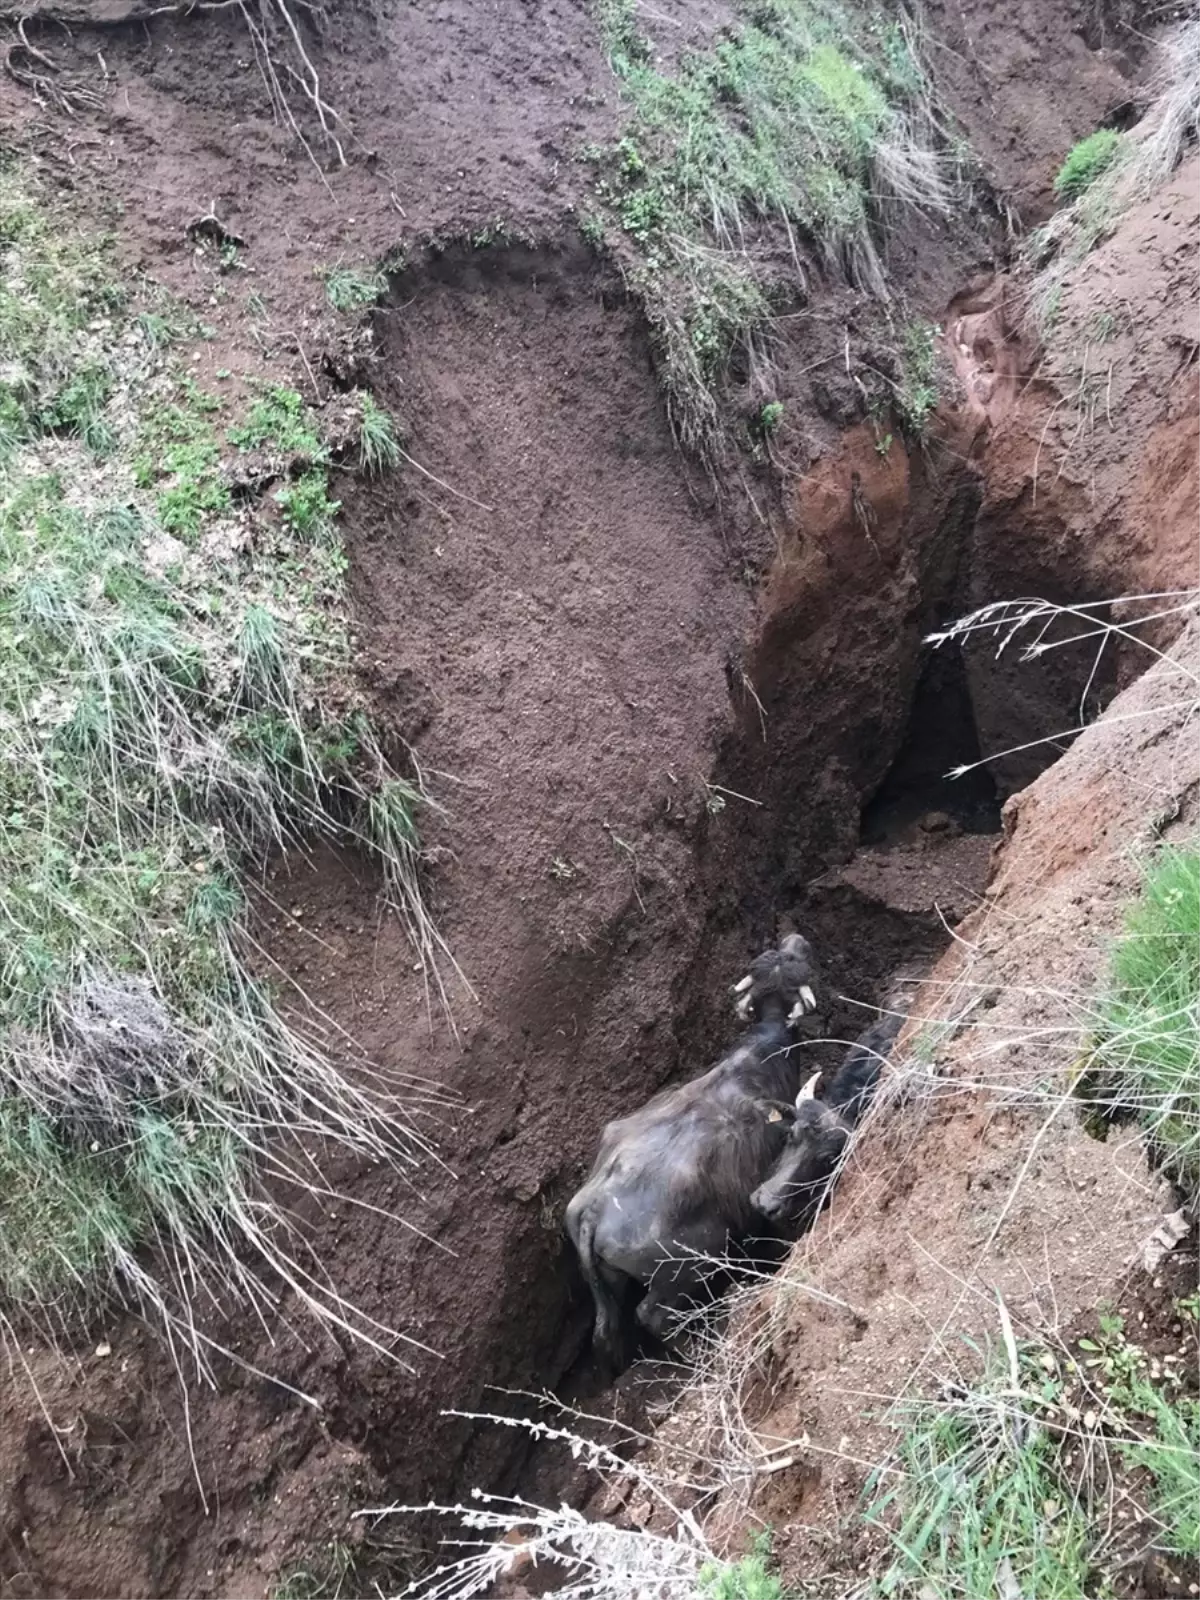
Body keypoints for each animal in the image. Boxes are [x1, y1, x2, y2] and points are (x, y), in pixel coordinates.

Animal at [569, 934, 825, 1369]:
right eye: (794, 960)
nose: (798, 939)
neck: (762, 1050)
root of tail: (593, 1208)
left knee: (609, 1328)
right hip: (688, 1269)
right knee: (654, 1316)